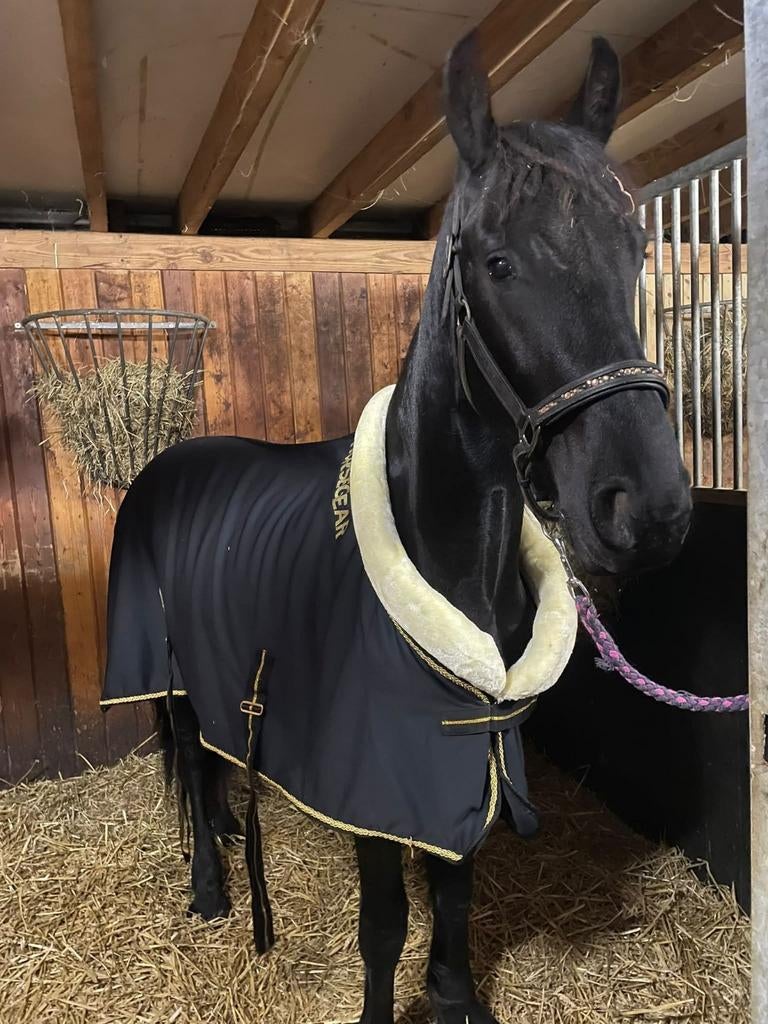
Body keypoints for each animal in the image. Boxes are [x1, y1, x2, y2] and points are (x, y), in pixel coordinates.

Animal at [101, 32, 691, 1024]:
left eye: (636, 249)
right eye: (496, 263)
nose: (647, 509)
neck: (446, 553)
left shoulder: (469, 760)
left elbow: (454, 897)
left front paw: (456, 996)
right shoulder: (371, 785)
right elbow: (385, 928)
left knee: (214, 764)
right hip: (166, 671)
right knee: (186, 754)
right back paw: (211, 890)